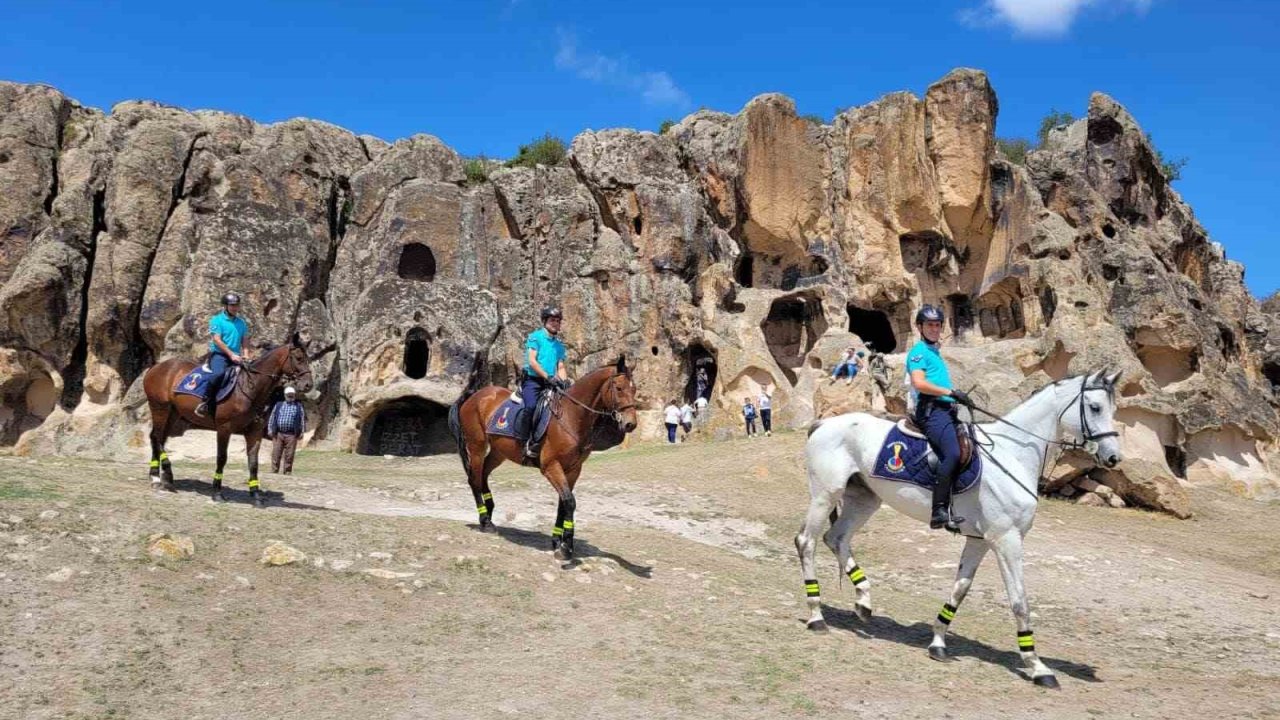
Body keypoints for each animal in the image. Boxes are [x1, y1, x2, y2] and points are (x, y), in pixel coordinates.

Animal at [140, 335, 314, 507]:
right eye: (299, 358)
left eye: (308, 358)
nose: (308, 385)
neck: (248, 388)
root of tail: (156, 367)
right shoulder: (224, 428)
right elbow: (221, 458)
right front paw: (217, 493)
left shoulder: (254, 432)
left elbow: (253, 462)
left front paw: (256, 495)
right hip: (160, 408)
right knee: (157, 437)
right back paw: (163, 477)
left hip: (174, 414)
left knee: (158, 438)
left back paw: (158, 476)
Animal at [450, 356, 640, 558]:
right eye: (619, 388)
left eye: (634, 389)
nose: (630, 424)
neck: (572, 416)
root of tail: (475, 395)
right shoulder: (551, 466)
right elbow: (569, 502)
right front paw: (566, 548)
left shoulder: (573, 469)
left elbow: (563, 503)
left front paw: (557, 541)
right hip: (476, 447)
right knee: (474, 480)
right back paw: (485, 521)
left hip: (498, 452)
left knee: (483, 475)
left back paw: (490, 513)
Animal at [793, 368, 1126, 681]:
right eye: (1095, 407)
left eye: (1113, 409)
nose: (1113, 458)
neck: (1012, 455)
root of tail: (824, 424)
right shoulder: (1007, 540)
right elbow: (1020, 602)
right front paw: (1037, 666)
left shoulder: (979, 540)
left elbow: (960, 589)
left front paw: (938, 643)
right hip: (825, 494)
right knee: (807, 542)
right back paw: (817, 616)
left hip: (864, 499)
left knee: (836, 538)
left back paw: (864, 601)